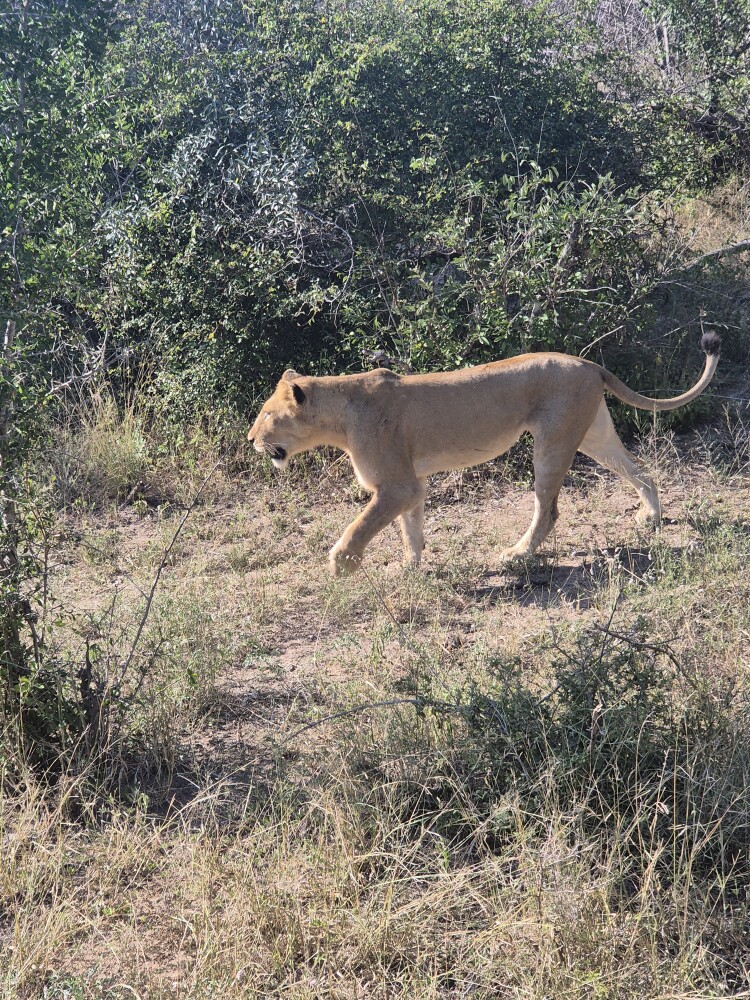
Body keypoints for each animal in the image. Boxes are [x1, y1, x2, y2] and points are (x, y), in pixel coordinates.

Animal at [249, 333, 721, 576]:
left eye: (266, 415)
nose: (250, 439)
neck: (341, 415)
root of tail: (588, 363)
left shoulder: (396, 485)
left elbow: (362, 523)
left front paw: (342, 563)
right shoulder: (412, 485)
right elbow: (409, 529)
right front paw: (410, 567)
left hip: (553, 442)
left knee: (549, 509)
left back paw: (518, 554)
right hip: (594, 435)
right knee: (642, 472)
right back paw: (651, 516)